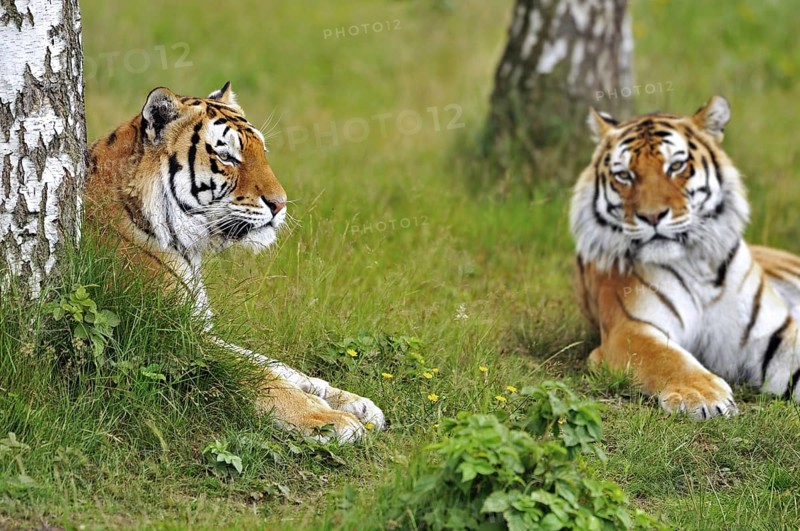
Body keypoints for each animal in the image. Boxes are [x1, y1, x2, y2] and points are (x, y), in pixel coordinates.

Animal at [86, 82, 384, 441]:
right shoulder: (170, 335)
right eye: (226, 156)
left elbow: (274, 364)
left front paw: (355, 402)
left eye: (263, 152)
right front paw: (328, 418)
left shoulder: (198, 326)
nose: (280, 203)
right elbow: (259, 376)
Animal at [570, 95, 800, 420]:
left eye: (676, 166)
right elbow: (665, 357)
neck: (699, 266)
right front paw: (702, 396)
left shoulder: (771, 332)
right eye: (624, 175)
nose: (651, 216)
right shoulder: (629, 328)